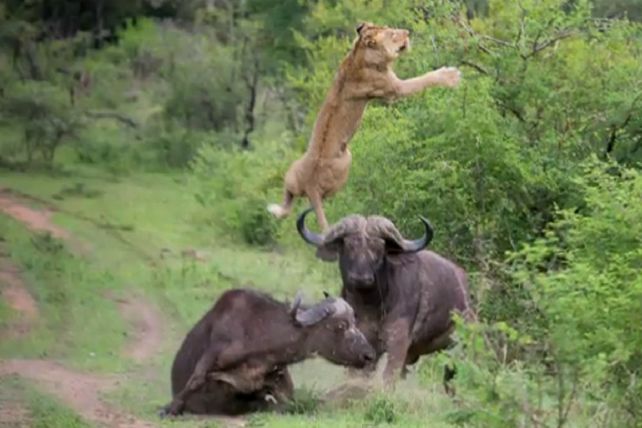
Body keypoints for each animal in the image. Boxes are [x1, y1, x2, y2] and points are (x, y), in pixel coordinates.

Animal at [161, 288, 376, 416]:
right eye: (341, 325)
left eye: (354, 322)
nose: (369, 355)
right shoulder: (216, 352)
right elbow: (196, 379)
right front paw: (171, 407)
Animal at [267, 22, 462, 231]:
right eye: (393, 34)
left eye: (391, 28)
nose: (408, 32)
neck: (359, 54)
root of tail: (311, 187)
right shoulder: (395, 89)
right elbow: (424, 79)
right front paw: (451, 75)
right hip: (346, 160)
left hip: (292, 175)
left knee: (288, 199)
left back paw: (275, 210)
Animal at [296, 208, 475, 389]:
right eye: (349, 246)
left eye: (378, 250)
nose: (361, 277)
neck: (370, 307)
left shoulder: (398, 342)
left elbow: (388, 378)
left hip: (459, 349)